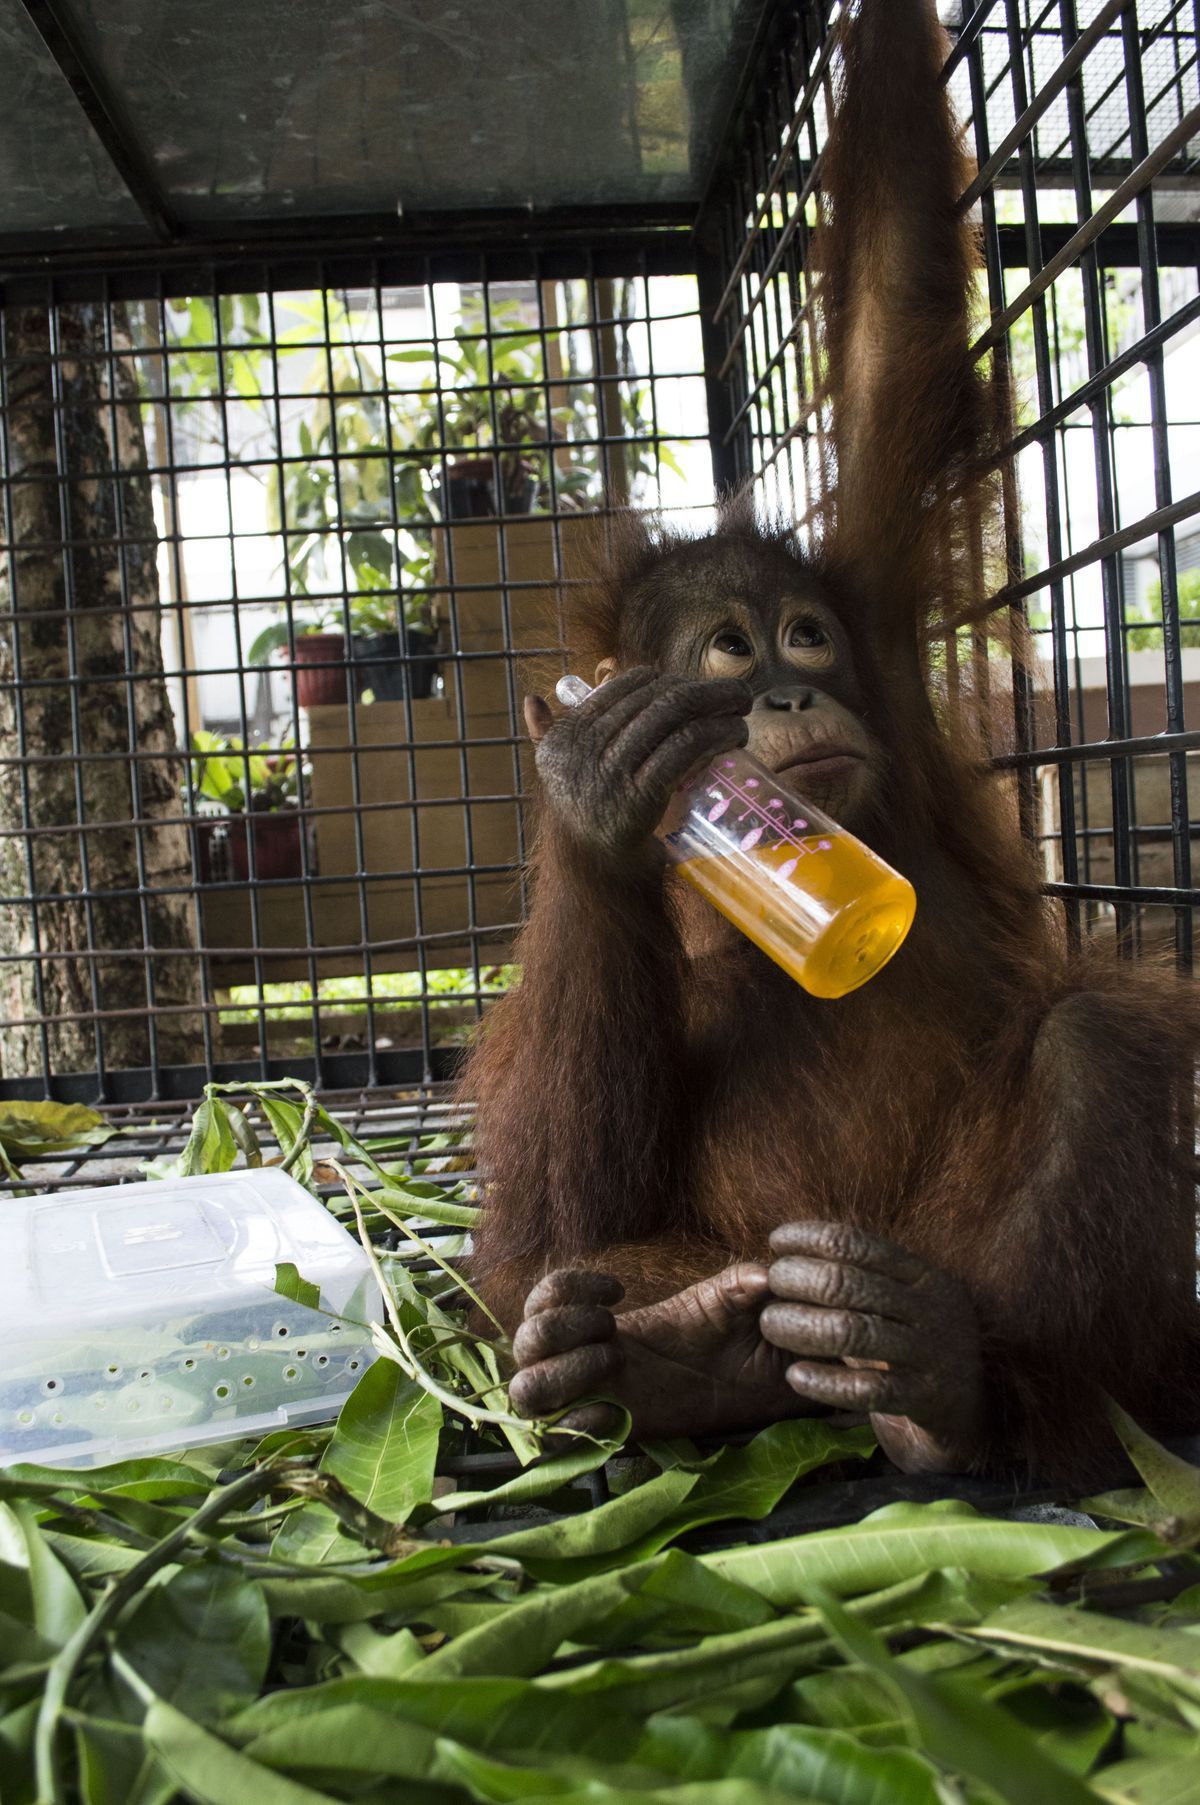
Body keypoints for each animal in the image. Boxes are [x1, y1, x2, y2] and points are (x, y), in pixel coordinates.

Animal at [459, 0, 1200, 1484]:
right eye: (726, 656)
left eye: (803, 635)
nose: (790, 700)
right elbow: (565, 1203)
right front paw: (593, 786)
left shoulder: (882, 622)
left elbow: (897, 312)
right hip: (760, 1258)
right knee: (538, 1274)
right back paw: (665, 1357)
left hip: (960, 1257)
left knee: (1098, 1041)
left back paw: (939, 1375)